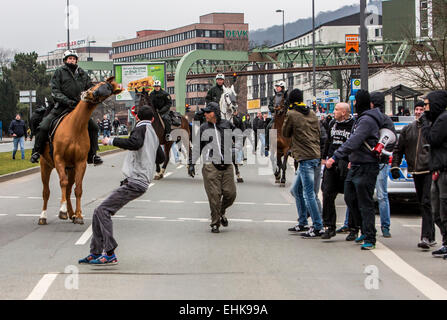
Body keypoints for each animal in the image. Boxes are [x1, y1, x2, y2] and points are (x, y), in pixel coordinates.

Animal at [37, 77, 122, 225]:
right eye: (98, 85)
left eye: (107, 92)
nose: (88, 94)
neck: (74, 126)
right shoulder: (59, 159)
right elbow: (62, 182)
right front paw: (62, 210)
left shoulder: (80, 163)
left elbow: (78, 189)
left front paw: (78, 215)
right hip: (45, 165)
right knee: (46, 191)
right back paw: (43, 216)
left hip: (71, 169)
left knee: (69, 190)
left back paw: (72, 214)